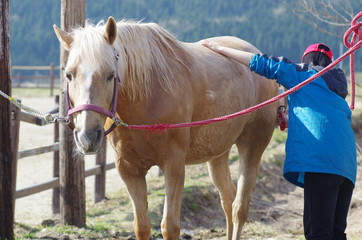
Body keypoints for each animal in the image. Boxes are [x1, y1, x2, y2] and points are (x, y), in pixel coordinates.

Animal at [53, 17, 278, 240]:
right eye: (69, 75)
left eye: (110, 75)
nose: (87, 136)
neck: (148, 94)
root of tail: (254, 56)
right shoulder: (129, 170)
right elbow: (141, 226)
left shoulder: (173, 165)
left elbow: (169, 227)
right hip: (218, 153)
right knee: (228, 200)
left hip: (252, 145)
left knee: (240, 207)